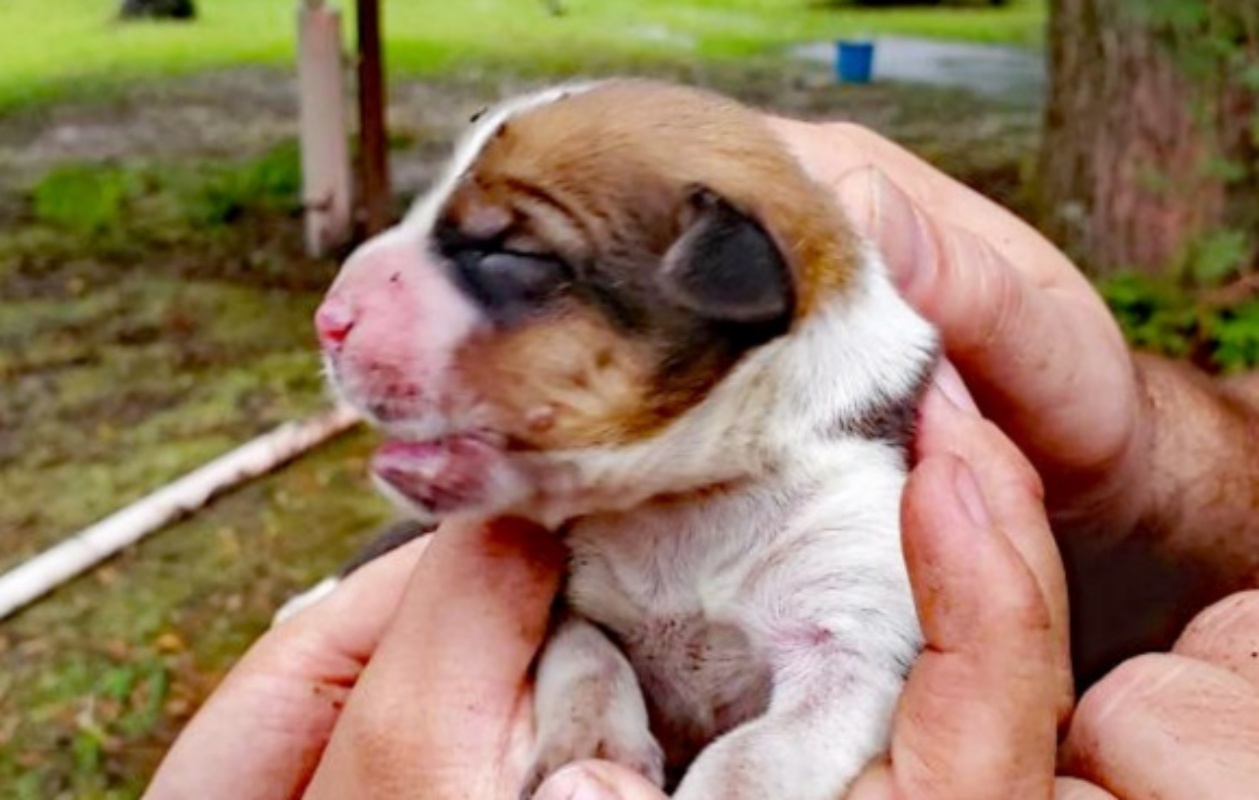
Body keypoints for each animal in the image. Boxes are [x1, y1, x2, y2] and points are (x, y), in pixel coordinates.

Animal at [288, 83, 936, 800]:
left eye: (507, 253)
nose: (327, 320)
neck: (680, 501)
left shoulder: (851, 632)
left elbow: (754, 752)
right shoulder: (566, 597)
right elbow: (588, 657)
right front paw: (590, 743)